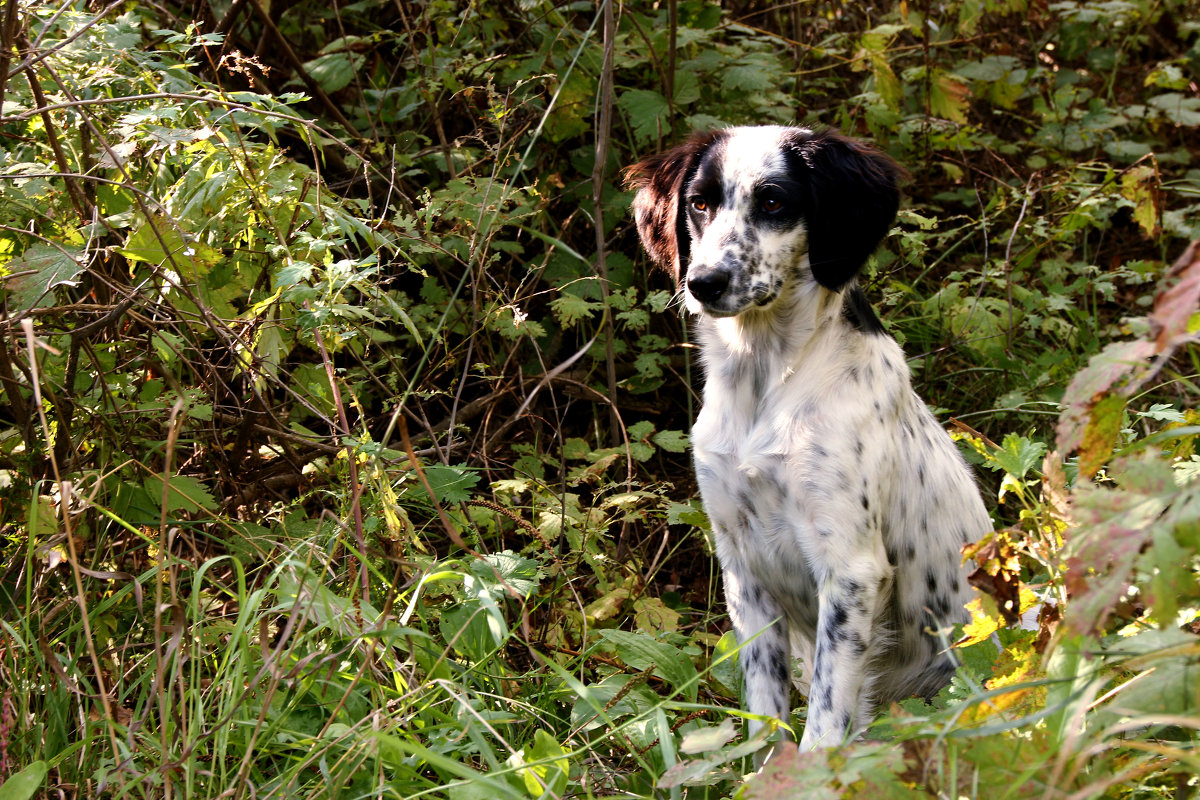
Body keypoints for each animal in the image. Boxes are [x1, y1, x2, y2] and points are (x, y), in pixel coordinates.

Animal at [624, 125, 988, 753]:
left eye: (773, 202)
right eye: (699, 203)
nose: (703, 282)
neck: (766, 380)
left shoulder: (851, 572)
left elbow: (824, 719)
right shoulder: (743, 565)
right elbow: (766, 713)